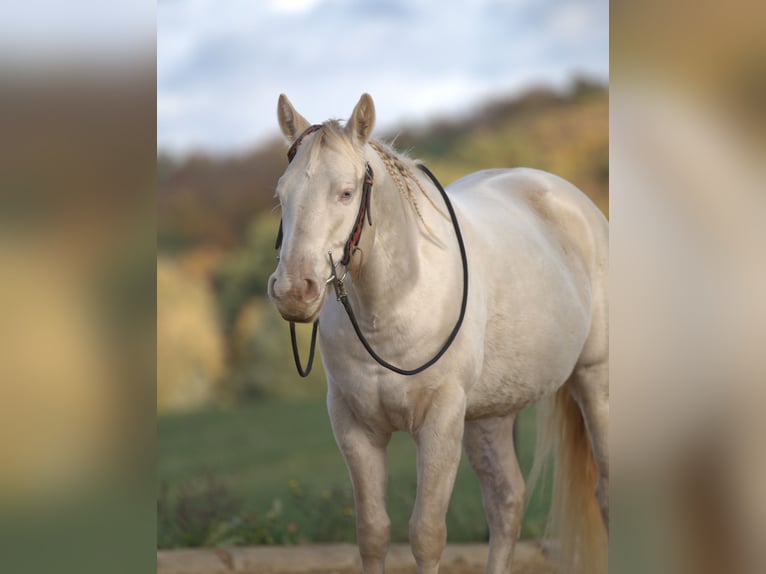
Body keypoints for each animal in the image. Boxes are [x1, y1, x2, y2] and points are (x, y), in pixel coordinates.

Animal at [270, 94, 612, 574]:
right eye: (281, 194)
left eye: (346, 192)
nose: (293, 291)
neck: (393, 305)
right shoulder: (354, 426)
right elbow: (373, 534)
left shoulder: (440, 420)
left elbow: (427, 535)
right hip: (490, 413)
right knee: (506, 502)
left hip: (595, 382)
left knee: (605, 494)